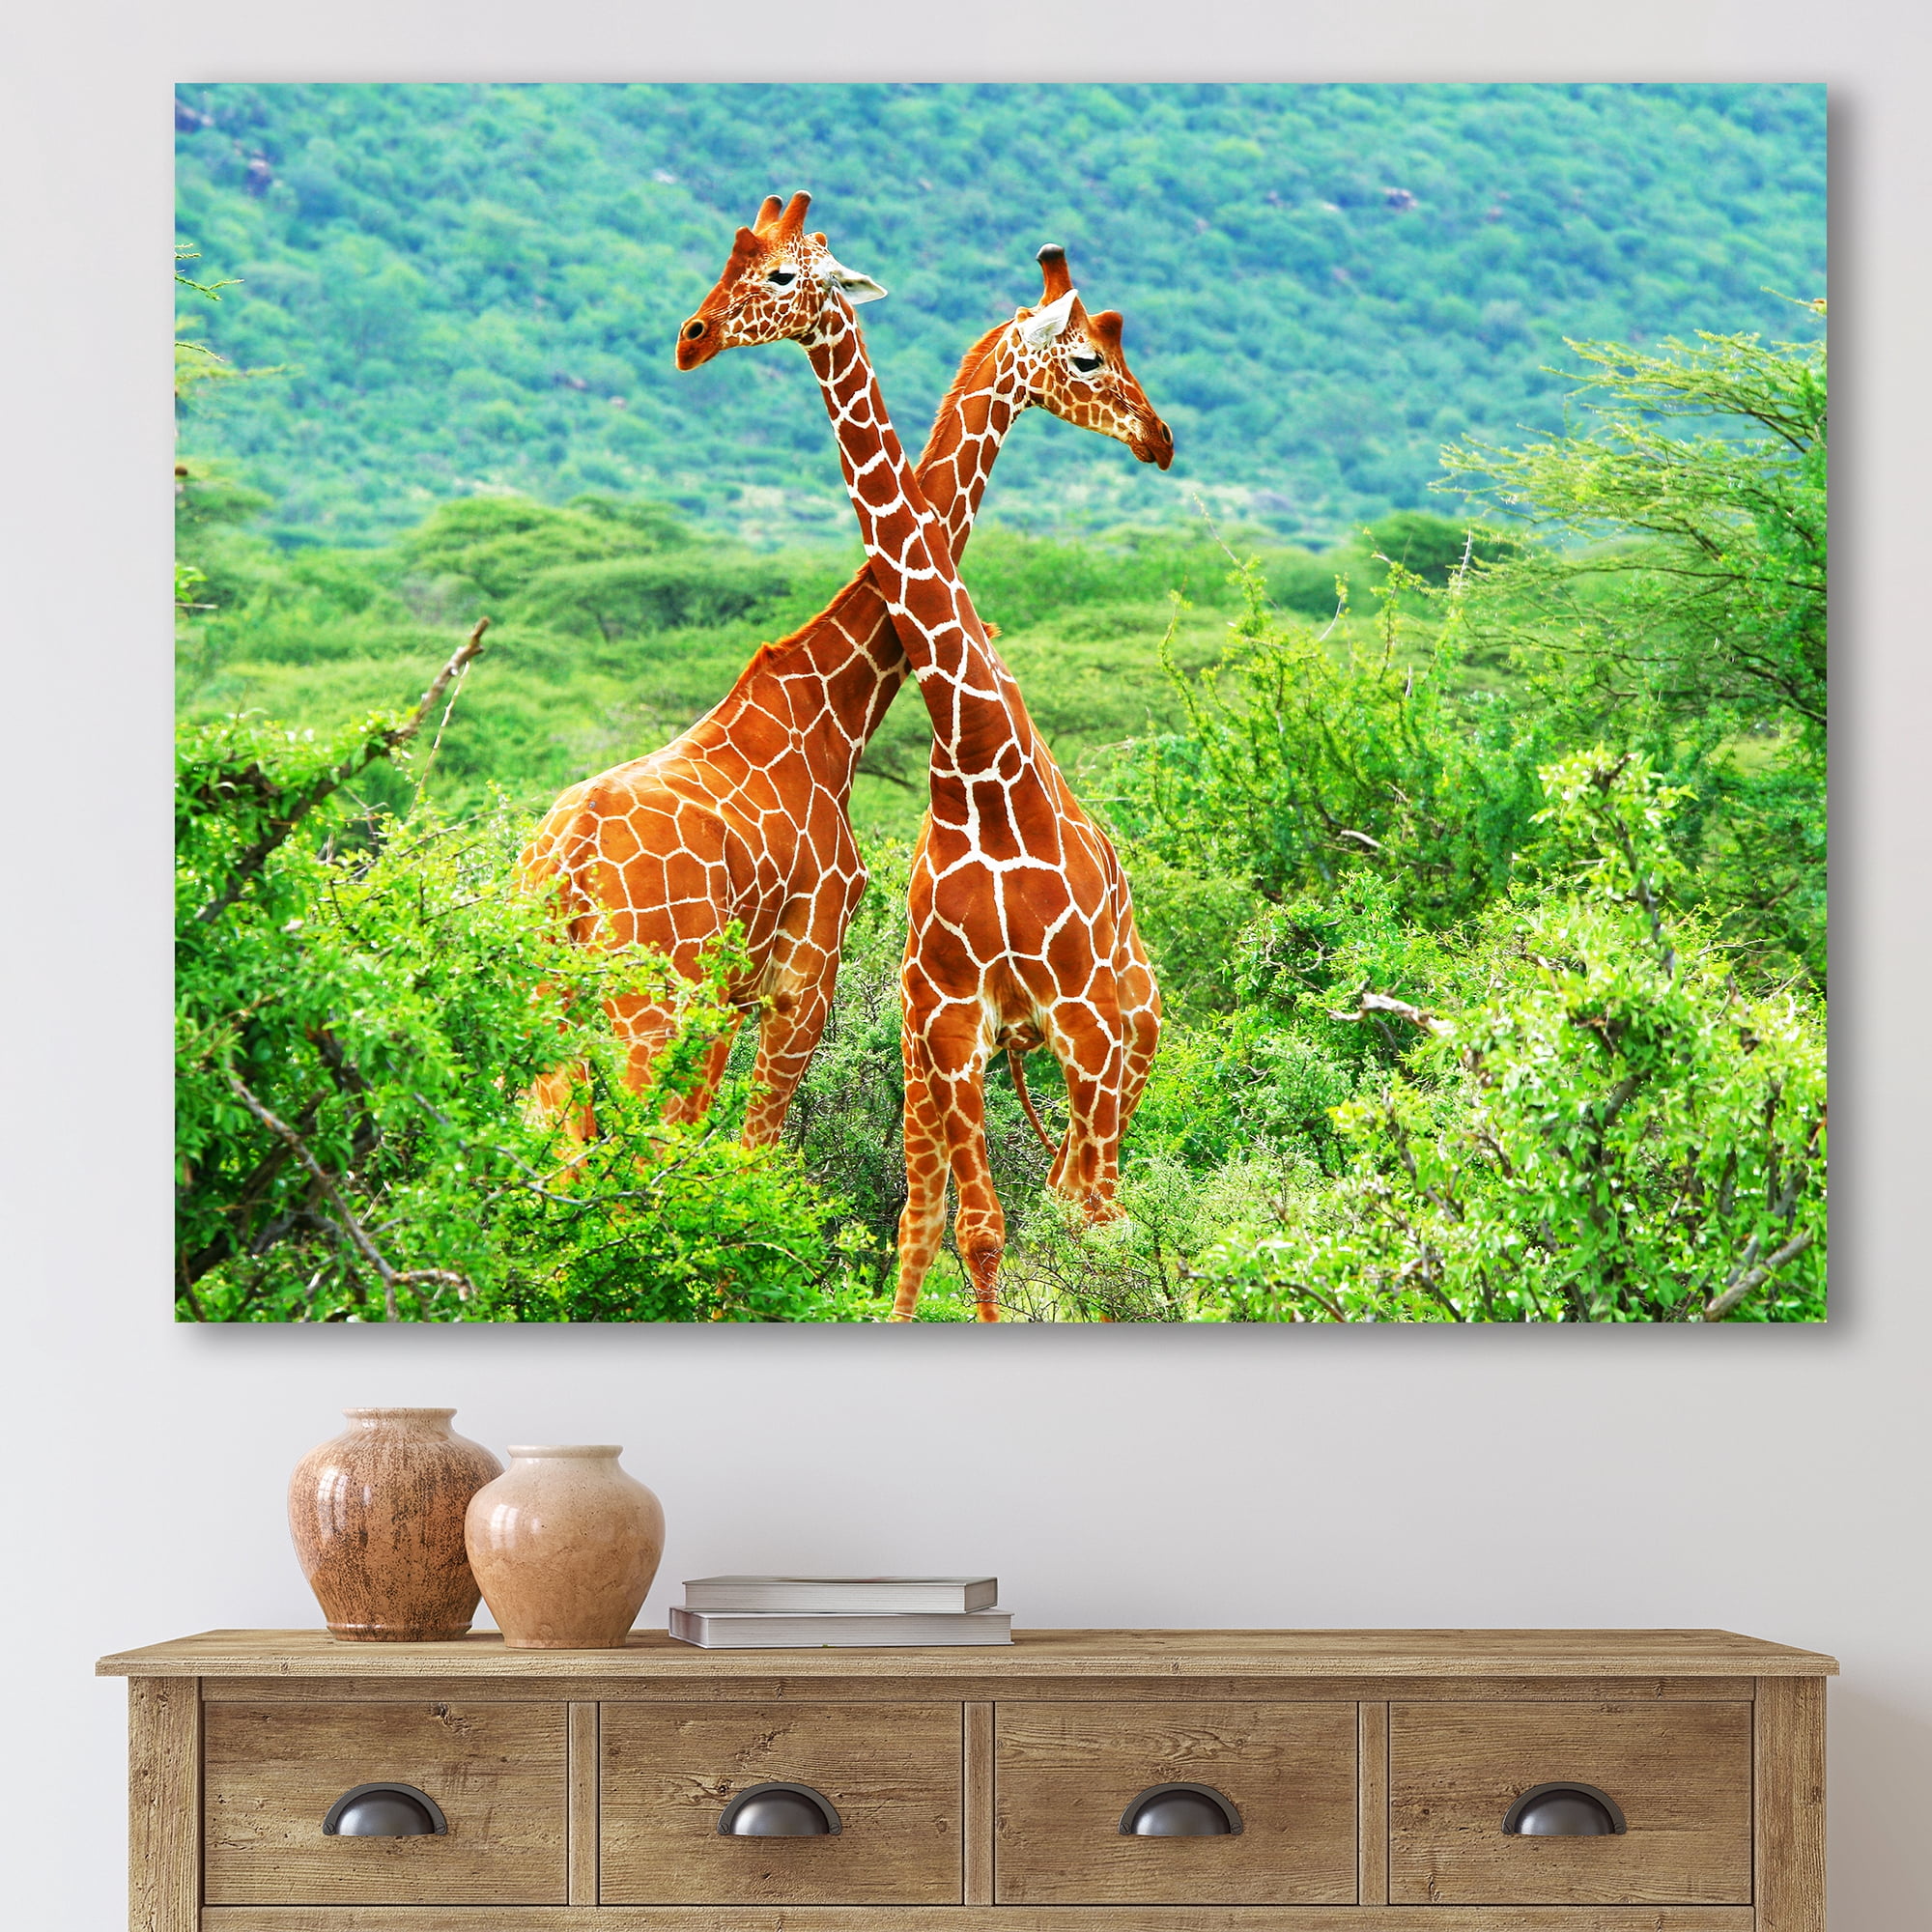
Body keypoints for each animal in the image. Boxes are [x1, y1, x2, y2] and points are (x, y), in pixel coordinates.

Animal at [523, 210, 1170, 1149]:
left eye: (775, 271)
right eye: (1089, 357)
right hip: (649, 1000)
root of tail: (564, 862)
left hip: (555, 998)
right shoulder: (804, 974)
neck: (835, 707)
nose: (1157, 436)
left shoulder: (742, 994)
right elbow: (751, 1153)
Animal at [677, 193, 1167, 1321]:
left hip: (1128, 1033)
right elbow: (974, 1228)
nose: (1160, 438)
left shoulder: (1080, 1018)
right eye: (1088, 356)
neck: (980, 761)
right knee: (955, 1205)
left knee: (1100, 1200)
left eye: (779, 274)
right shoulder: (947, 1018)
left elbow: (1071, 1222)